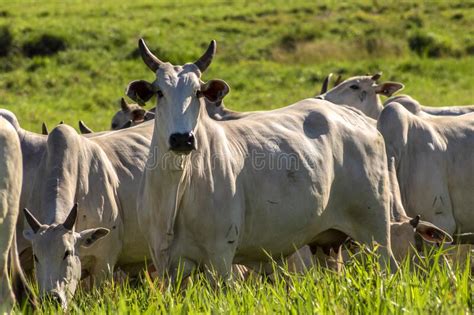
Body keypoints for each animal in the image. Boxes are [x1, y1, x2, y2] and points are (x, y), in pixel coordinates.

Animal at [126, 38, 452, 282]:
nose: (182, 139)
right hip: (327, 243)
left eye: (197, 92)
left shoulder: (220, 258)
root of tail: (359, 119)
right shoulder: (165, 264)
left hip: (375, 232)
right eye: (159, 92)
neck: (178, 185)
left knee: (388, 269)